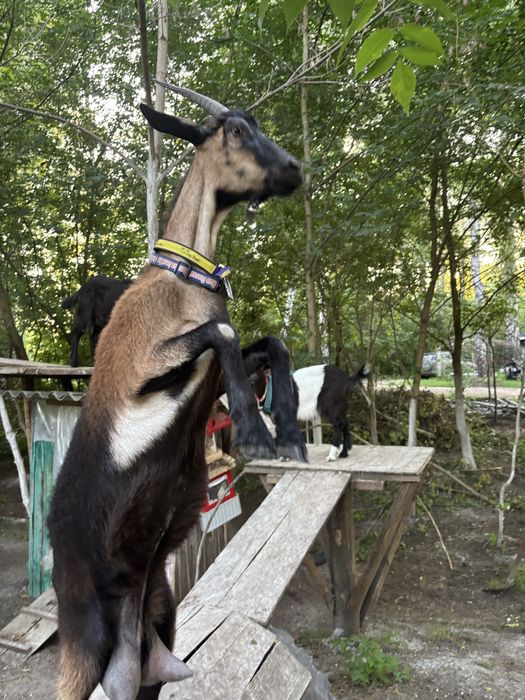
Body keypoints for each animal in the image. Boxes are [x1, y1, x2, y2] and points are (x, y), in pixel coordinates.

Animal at [48, 84, 305, 700]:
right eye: (236, 130)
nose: (294, 169)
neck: (182, 281)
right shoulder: (141, 380)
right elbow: (223, 333)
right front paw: (255, 434)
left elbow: (270, 341)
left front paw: (287, 431)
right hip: (81, 644)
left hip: (158, 636)